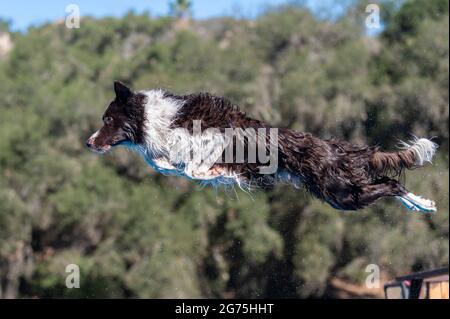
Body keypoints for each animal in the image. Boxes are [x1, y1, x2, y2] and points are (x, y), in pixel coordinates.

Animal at [86, 82, 438, 212]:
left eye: (107, 119)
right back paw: (421, 204)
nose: (88, 143)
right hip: (338, 191)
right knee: (389, 182)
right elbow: (164, 163)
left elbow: (189, 166)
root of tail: (334, 147)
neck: (157, 118)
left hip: (340, 193)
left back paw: (420, 204)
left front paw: (210, 171)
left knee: (391, 184)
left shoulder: (213, 139)